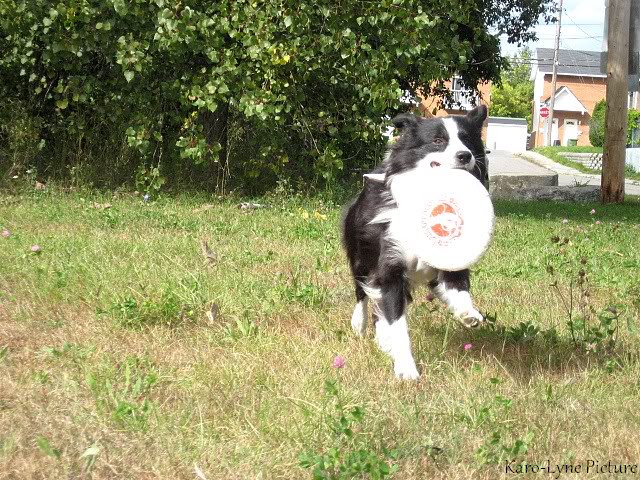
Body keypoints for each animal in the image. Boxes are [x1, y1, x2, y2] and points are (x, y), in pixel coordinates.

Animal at [342, 105, 488, 378]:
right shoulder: (389, 267)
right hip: (361, 256)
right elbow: (397, 323)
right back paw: (360, 324)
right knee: (362, 291)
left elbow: (458, 285)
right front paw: (406, 370)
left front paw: (467, 312)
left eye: (466, 139)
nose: (464, 156)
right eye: (438, 141)